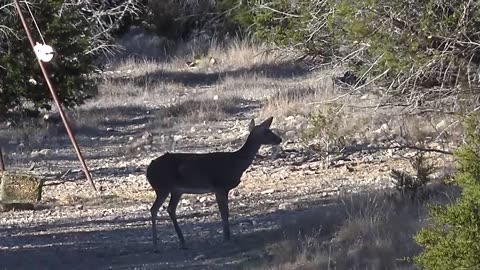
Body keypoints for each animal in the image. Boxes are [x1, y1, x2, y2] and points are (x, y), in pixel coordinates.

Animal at [145, 117, 282, 252]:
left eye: (269, 129)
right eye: (266, 131)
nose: (279, 139)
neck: (236, 163)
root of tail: (148, 170)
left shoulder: (224, 189)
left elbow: (226, 212)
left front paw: (228, 237)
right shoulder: (219, 186)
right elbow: (224, 212)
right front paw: (226, 238)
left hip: (176, 190)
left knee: (170, 209)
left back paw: (182, 242)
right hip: (162, 187)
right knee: (154, 209)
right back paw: (156, 245)